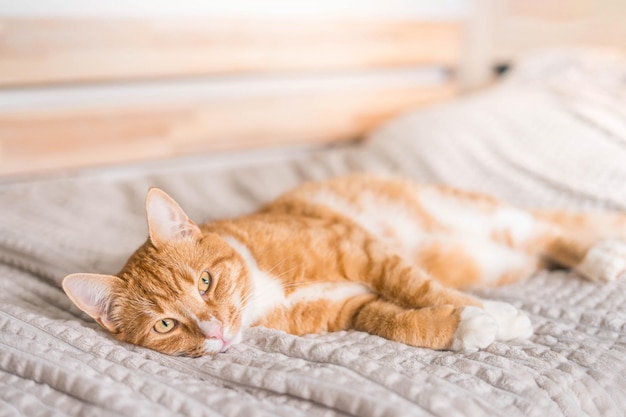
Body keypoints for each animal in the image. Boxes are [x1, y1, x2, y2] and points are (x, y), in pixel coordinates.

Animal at [62, 174, 624, 356]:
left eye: (205, 281)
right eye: (166, 325)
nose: (215, 330)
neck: (264, 290)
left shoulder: (363, 251)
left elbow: (418, 285)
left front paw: (495, 316)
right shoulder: (349, 308)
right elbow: (396, 321)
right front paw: (465, 326)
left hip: (486, 220)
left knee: (549, 230)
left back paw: (599, 258)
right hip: (498, 258)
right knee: (541, 242)